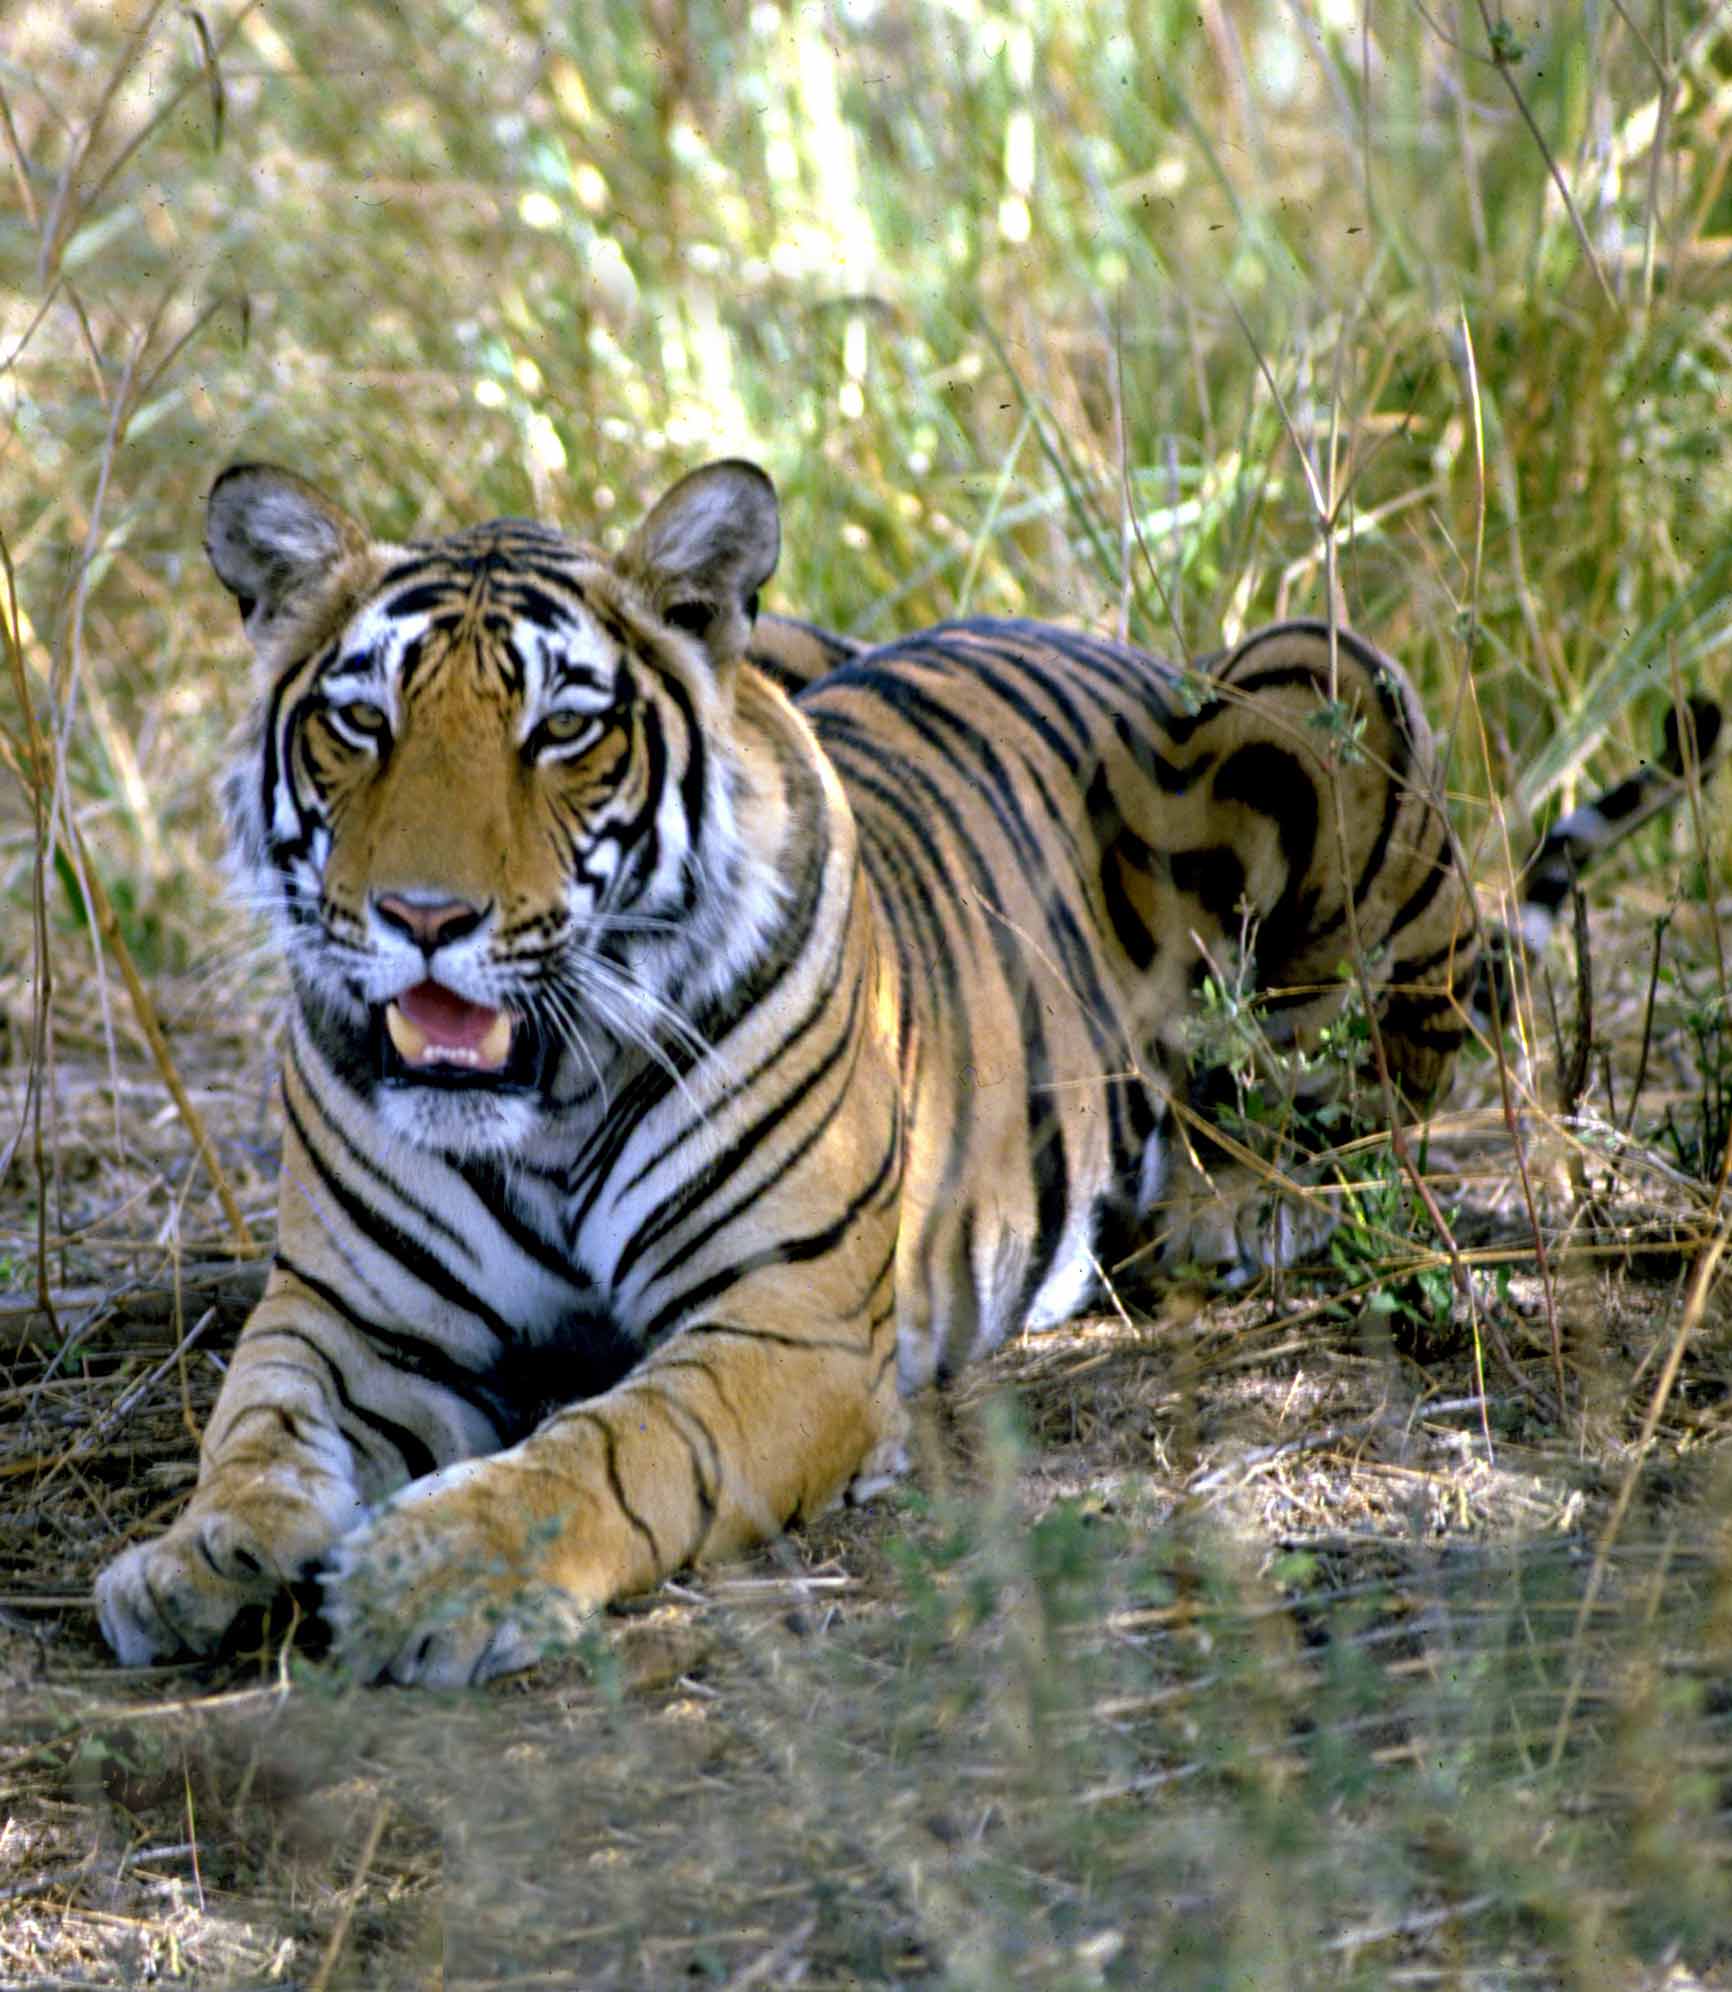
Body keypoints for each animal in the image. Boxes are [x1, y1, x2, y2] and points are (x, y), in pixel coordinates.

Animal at [93, 457, 1710, 1686]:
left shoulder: (782, 1327)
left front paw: (429, 1572)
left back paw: (1237, 1201)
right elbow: (259, 1423)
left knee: (1376, 1089)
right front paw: (194, 1556)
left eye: (564, 729)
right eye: (358, 722)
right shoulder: (350, 1314)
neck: (538, 1099)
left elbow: (601, 1451)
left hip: (1313, 679)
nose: (423, 920)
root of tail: (1106, 640)